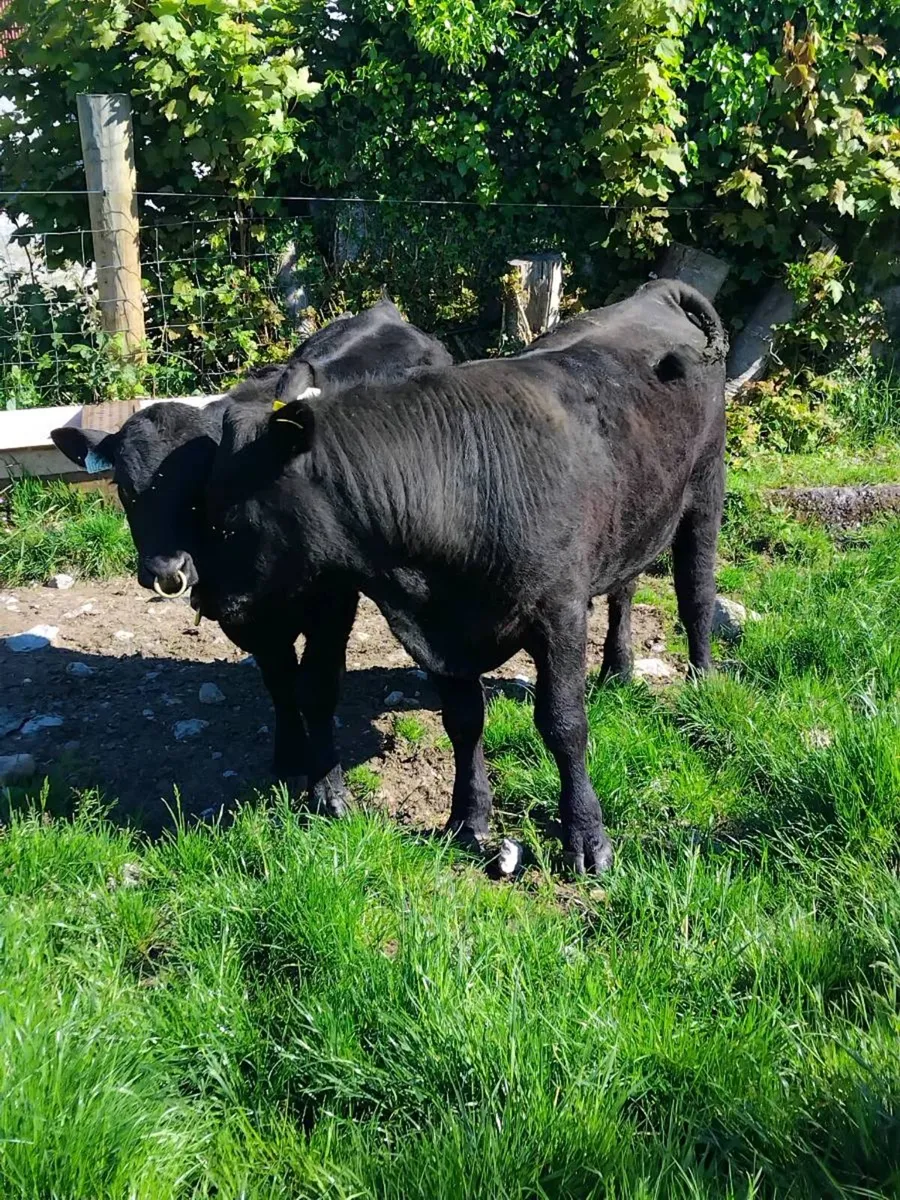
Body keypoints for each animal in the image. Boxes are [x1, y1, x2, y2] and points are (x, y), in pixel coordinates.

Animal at [51, 298, 454, 795]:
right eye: (124, 488)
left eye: (201, 484)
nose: (165, 568)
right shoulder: (244, 616)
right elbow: (279, 681)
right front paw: (289, 756)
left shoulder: (333, 600)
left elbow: (316, 686)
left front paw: (328, 788)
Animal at [191, 279, 728, 872]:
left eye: (231, 521)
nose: (207, 599)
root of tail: (659, 290)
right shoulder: (441, 636)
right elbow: (463, 722)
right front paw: (468, 820)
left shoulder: (559, 611)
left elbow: (564, 724)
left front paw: (586, 838)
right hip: (632, 513)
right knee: (625, 587)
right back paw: (618, 668)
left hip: (706, 488)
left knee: (696, 592)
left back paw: (702, 681)